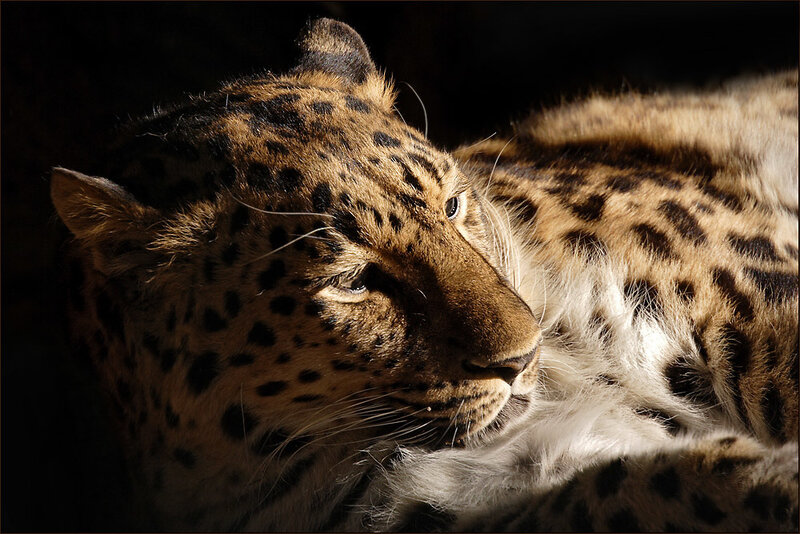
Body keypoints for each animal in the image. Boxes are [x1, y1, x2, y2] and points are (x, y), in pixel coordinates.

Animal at [50, 18, 798, 532]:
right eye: (353, 281)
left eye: (455, 206)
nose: (520, 359)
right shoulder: (510, 485)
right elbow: (660, 485)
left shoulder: (743, 300)